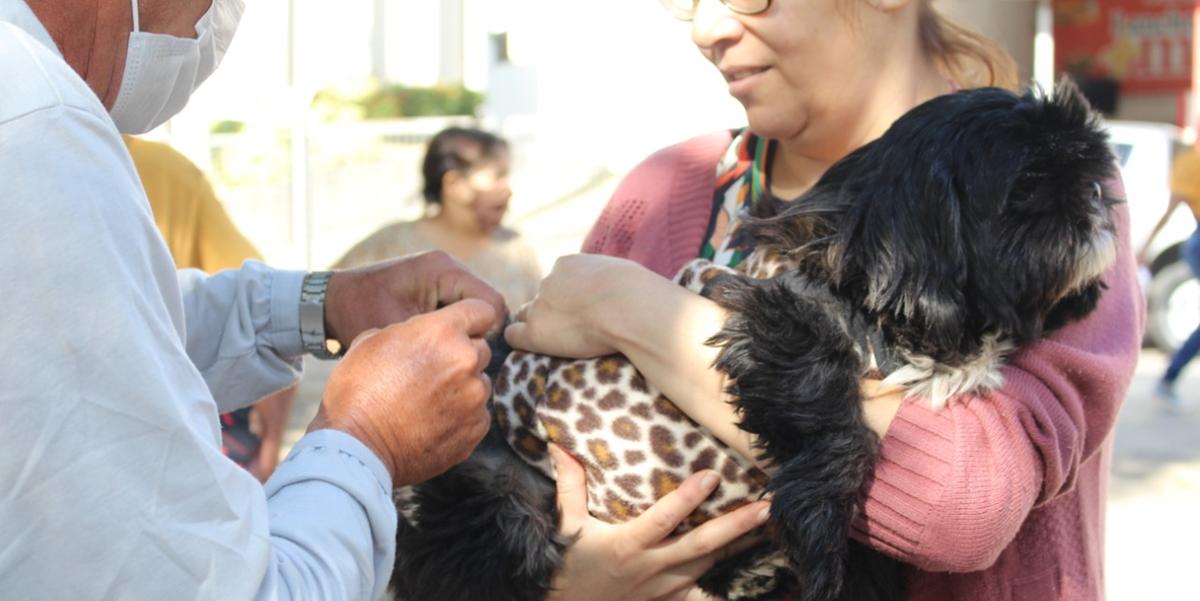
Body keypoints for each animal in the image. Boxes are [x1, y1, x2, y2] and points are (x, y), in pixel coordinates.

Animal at [388, 82, 1118, 599]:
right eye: (1028, 183)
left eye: (1088, 170)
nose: (1097, 198)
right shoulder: (763, 314)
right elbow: (836, 415)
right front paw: (821, 519)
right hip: (497, 502)